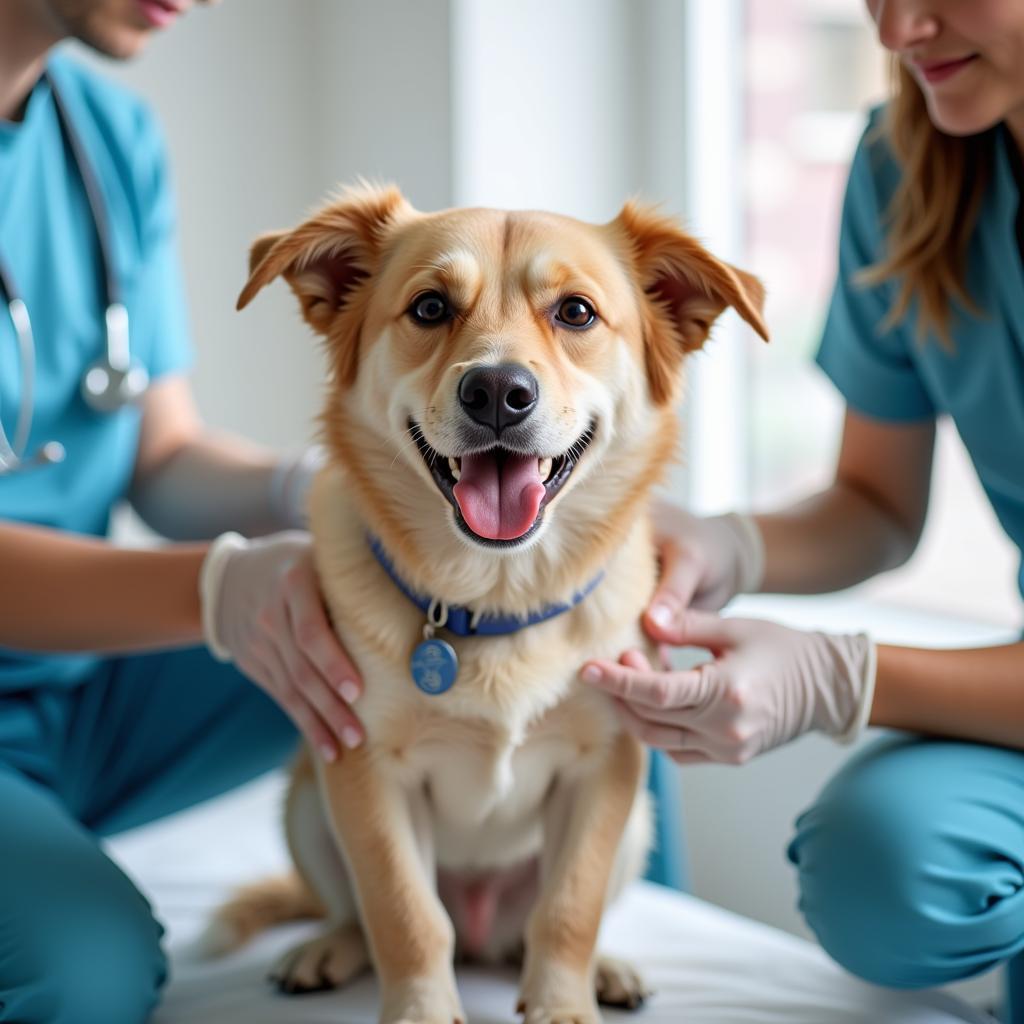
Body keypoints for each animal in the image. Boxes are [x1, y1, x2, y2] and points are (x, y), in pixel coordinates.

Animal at [209, 186, 770, 1024]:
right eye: (430, 306)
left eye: (576, 312)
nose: (499, 393)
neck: (500, 598)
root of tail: (483, 935)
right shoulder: (364, 768)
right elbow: (404, 914)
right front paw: (421, 1008)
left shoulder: (607, 765)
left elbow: (568, 910)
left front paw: (565, 1002)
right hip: (306, 800)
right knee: (360, 914)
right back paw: (330, 948)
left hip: (634, 829)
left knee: (528, 935)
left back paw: (604, 969)